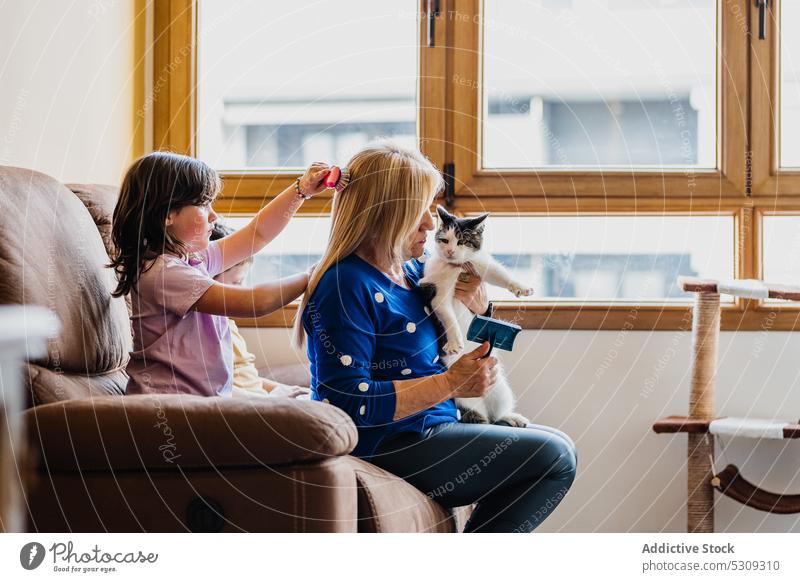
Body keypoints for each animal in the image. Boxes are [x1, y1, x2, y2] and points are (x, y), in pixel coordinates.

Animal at [418, 205, 536, 428]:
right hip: (464, 399)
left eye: (462, 241)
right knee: (486, 419)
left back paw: (511, 416)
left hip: (500, 388)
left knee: (497, 414)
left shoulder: (479, 264)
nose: (450, 251)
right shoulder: (438, 292)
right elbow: (447, 315)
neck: (455, 267)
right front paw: (454, 341)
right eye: (444, 240)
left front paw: (521, 287)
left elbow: (499, 273)